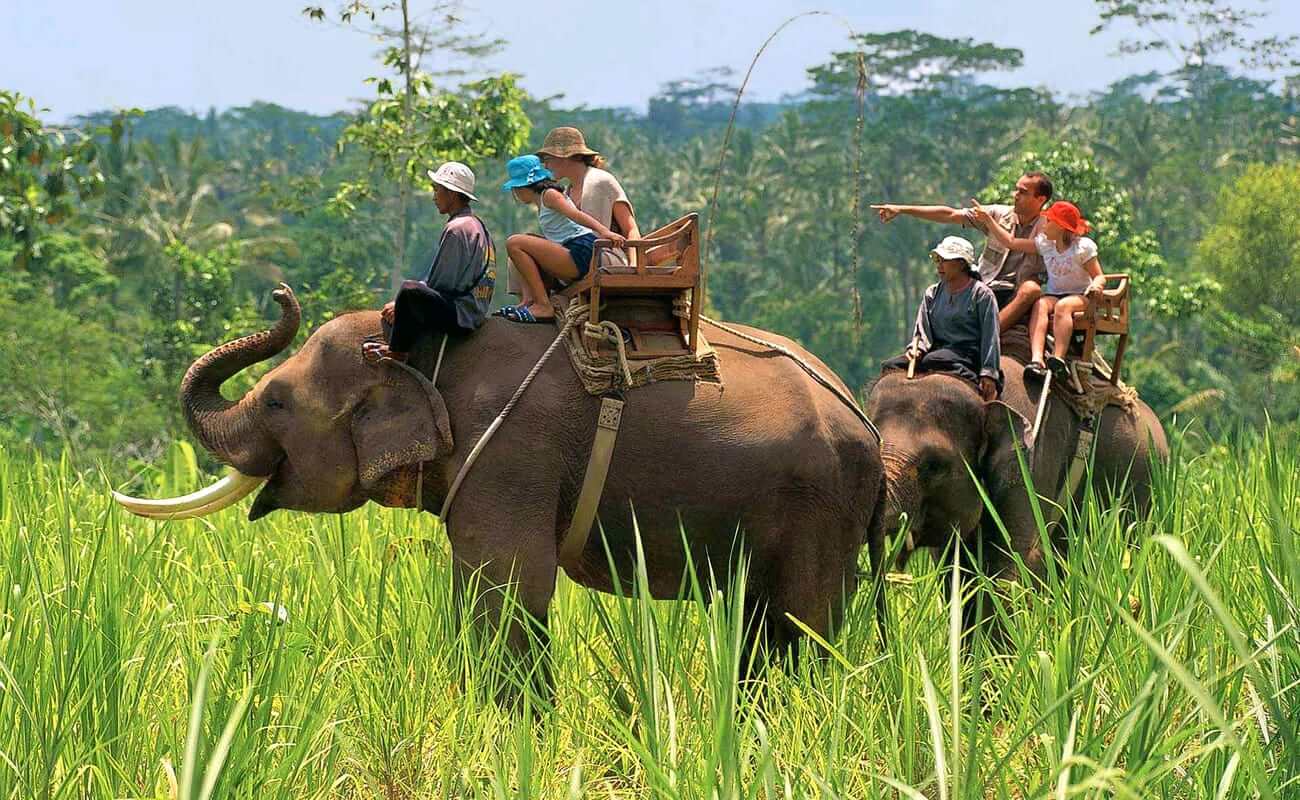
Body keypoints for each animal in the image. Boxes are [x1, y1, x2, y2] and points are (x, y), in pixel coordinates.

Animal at [115, 285, 886, 674]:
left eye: (275, 401)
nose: (279, 293)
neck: (424, 349)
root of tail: (866, 425)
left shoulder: (511, 451)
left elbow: (510, 586)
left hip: (819, 502)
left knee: (798, 624)